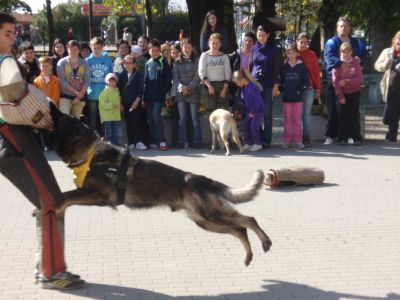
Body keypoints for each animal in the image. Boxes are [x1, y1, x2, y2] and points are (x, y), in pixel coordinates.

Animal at [50, 104, 272, 266]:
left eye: (61, 119)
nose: (51, 104)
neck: (89, 153)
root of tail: (203, 180)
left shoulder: (102, 195)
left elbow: (66, 196)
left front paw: (57, 205)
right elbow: (68, 195)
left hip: (211, 214)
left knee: (248, 220)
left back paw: (265, 242)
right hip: (205, 221)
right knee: (240, 229)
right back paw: (249, 256)